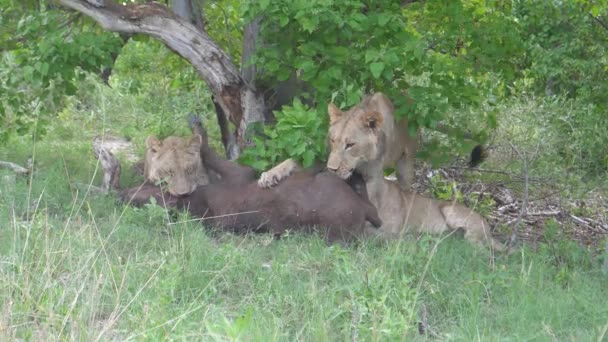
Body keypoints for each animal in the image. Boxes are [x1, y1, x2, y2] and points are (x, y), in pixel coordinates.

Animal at [256, 93, 418, 190]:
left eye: (350, 145)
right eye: (333, 140)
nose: (332, 169)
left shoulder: (374, 176)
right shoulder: (326, 158)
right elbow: (293, 161)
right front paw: (269, 175)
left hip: (406, 162)